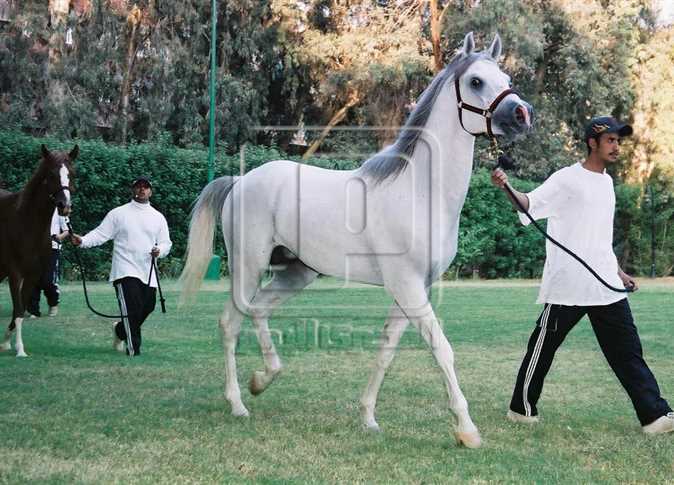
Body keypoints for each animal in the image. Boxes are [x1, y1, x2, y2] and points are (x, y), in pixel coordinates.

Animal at [0, 144, 77, 356]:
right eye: (51, 174)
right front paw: (19, 349)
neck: (25, 221)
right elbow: (18, 309)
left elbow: (19, 310)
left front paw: (8, 343)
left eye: (72, 174)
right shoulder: (15, 274)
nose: (65, 206)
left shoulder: (33, 274)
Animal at [181, 34, 532, 448]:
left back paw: (261, 380)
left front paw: (367, 417)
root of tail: (240, 181)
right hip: (247, 267)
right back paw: (238, 403)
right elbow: (441, 348)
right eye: (476, 81)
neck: (419, 191)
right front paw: (467, 430)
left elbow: (387, 350)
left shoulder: (414, 288)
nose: (522, 114)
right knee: (230, 322)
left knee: (260, 310)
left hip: (297, 272)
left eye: (506, 77)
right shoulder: (408, 285)